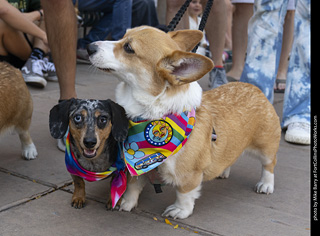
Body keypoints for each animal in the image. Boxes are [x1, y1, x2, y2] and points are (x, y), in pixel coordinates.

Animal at [87, 26, 280, 219]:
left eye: (128, 48)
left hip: (265, 146)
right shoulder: (136, 169)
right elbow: (132, 187)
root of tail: (255, 88)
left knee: (269, 164)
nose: (90, 47)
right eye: (123, 36)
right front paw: (126, 203)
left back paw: (266, 184)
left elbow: (184, 194)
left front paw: (180, 210)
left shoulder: (188, 174)